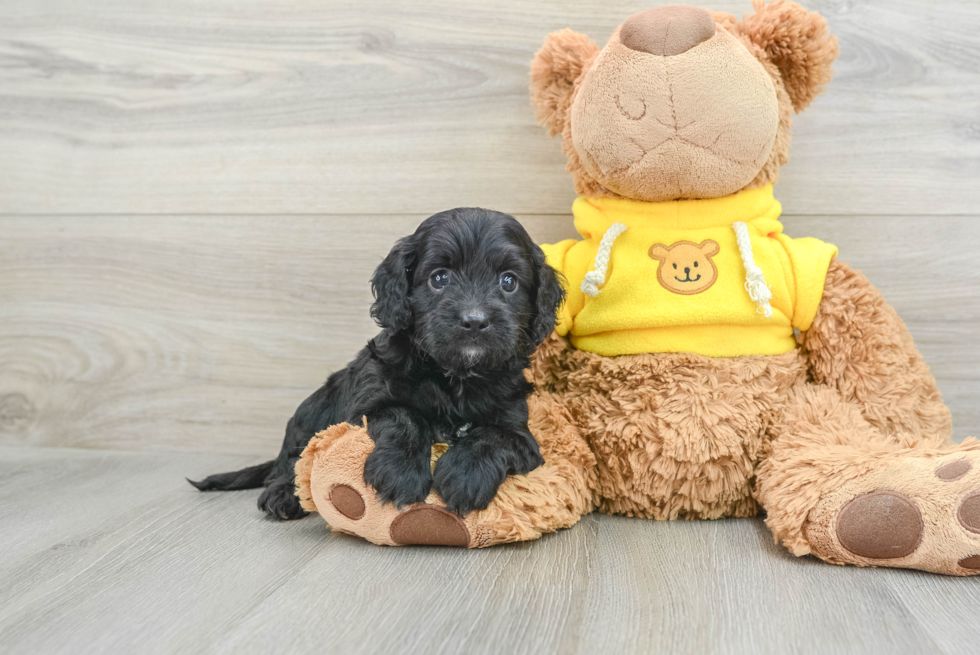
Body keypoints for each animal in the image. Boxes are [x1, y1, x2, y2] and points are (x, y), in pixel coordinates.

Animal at [189, 208, 568, 520]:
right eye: (439, 278)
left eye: (509, 282)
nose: (474, 321)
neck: (454, 376)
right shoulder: (369, 404)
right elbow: (405, 416)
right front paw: (401, 475)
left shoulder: (521, 434)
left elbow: (492, 436)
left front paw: (465, 476)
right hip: (311, 412)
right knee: (292, 463)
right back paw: (284, 494)